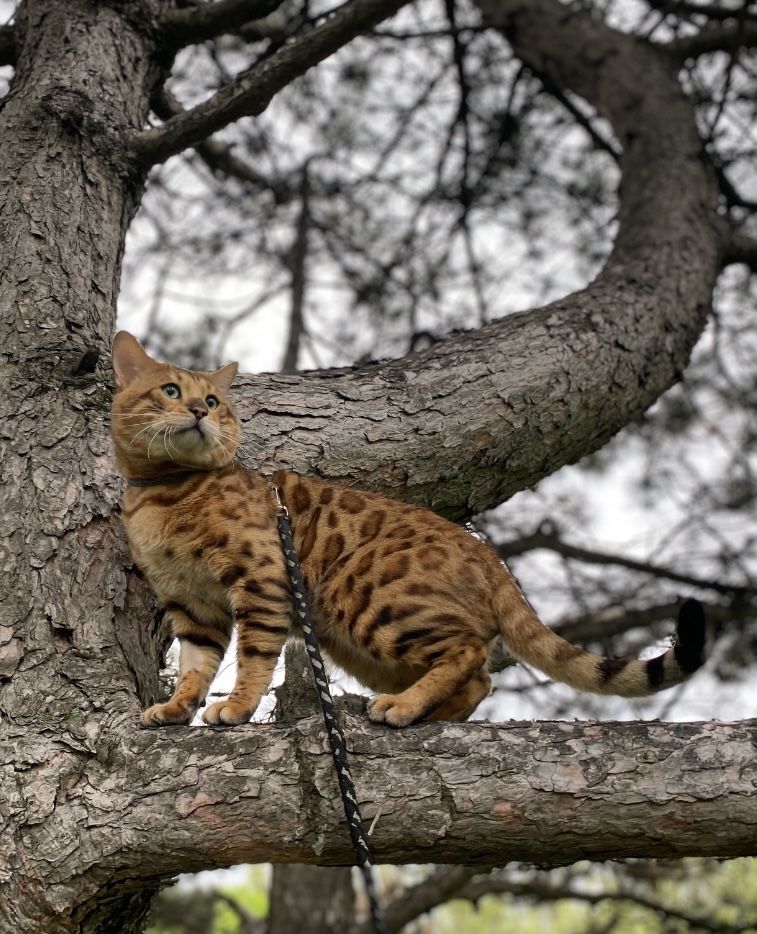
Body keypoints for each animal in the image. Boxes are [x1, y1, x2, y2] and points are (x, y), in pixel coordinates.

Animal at [109, 332, 704, 728]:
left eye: (213, 401)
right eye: (170, 391)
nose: (198, 411)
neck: (163, 491)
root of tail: (488, 555)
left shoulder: (260, 578)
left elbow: (253, 656)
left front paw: (235, 707)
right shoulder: (193, 605)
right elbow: (196, 665)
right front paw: (176, 708)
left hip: (370, 599)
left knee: (468, 652)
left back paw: (406, 706)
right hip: (362, 645)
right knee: (480, 676)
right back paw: (429, 711)